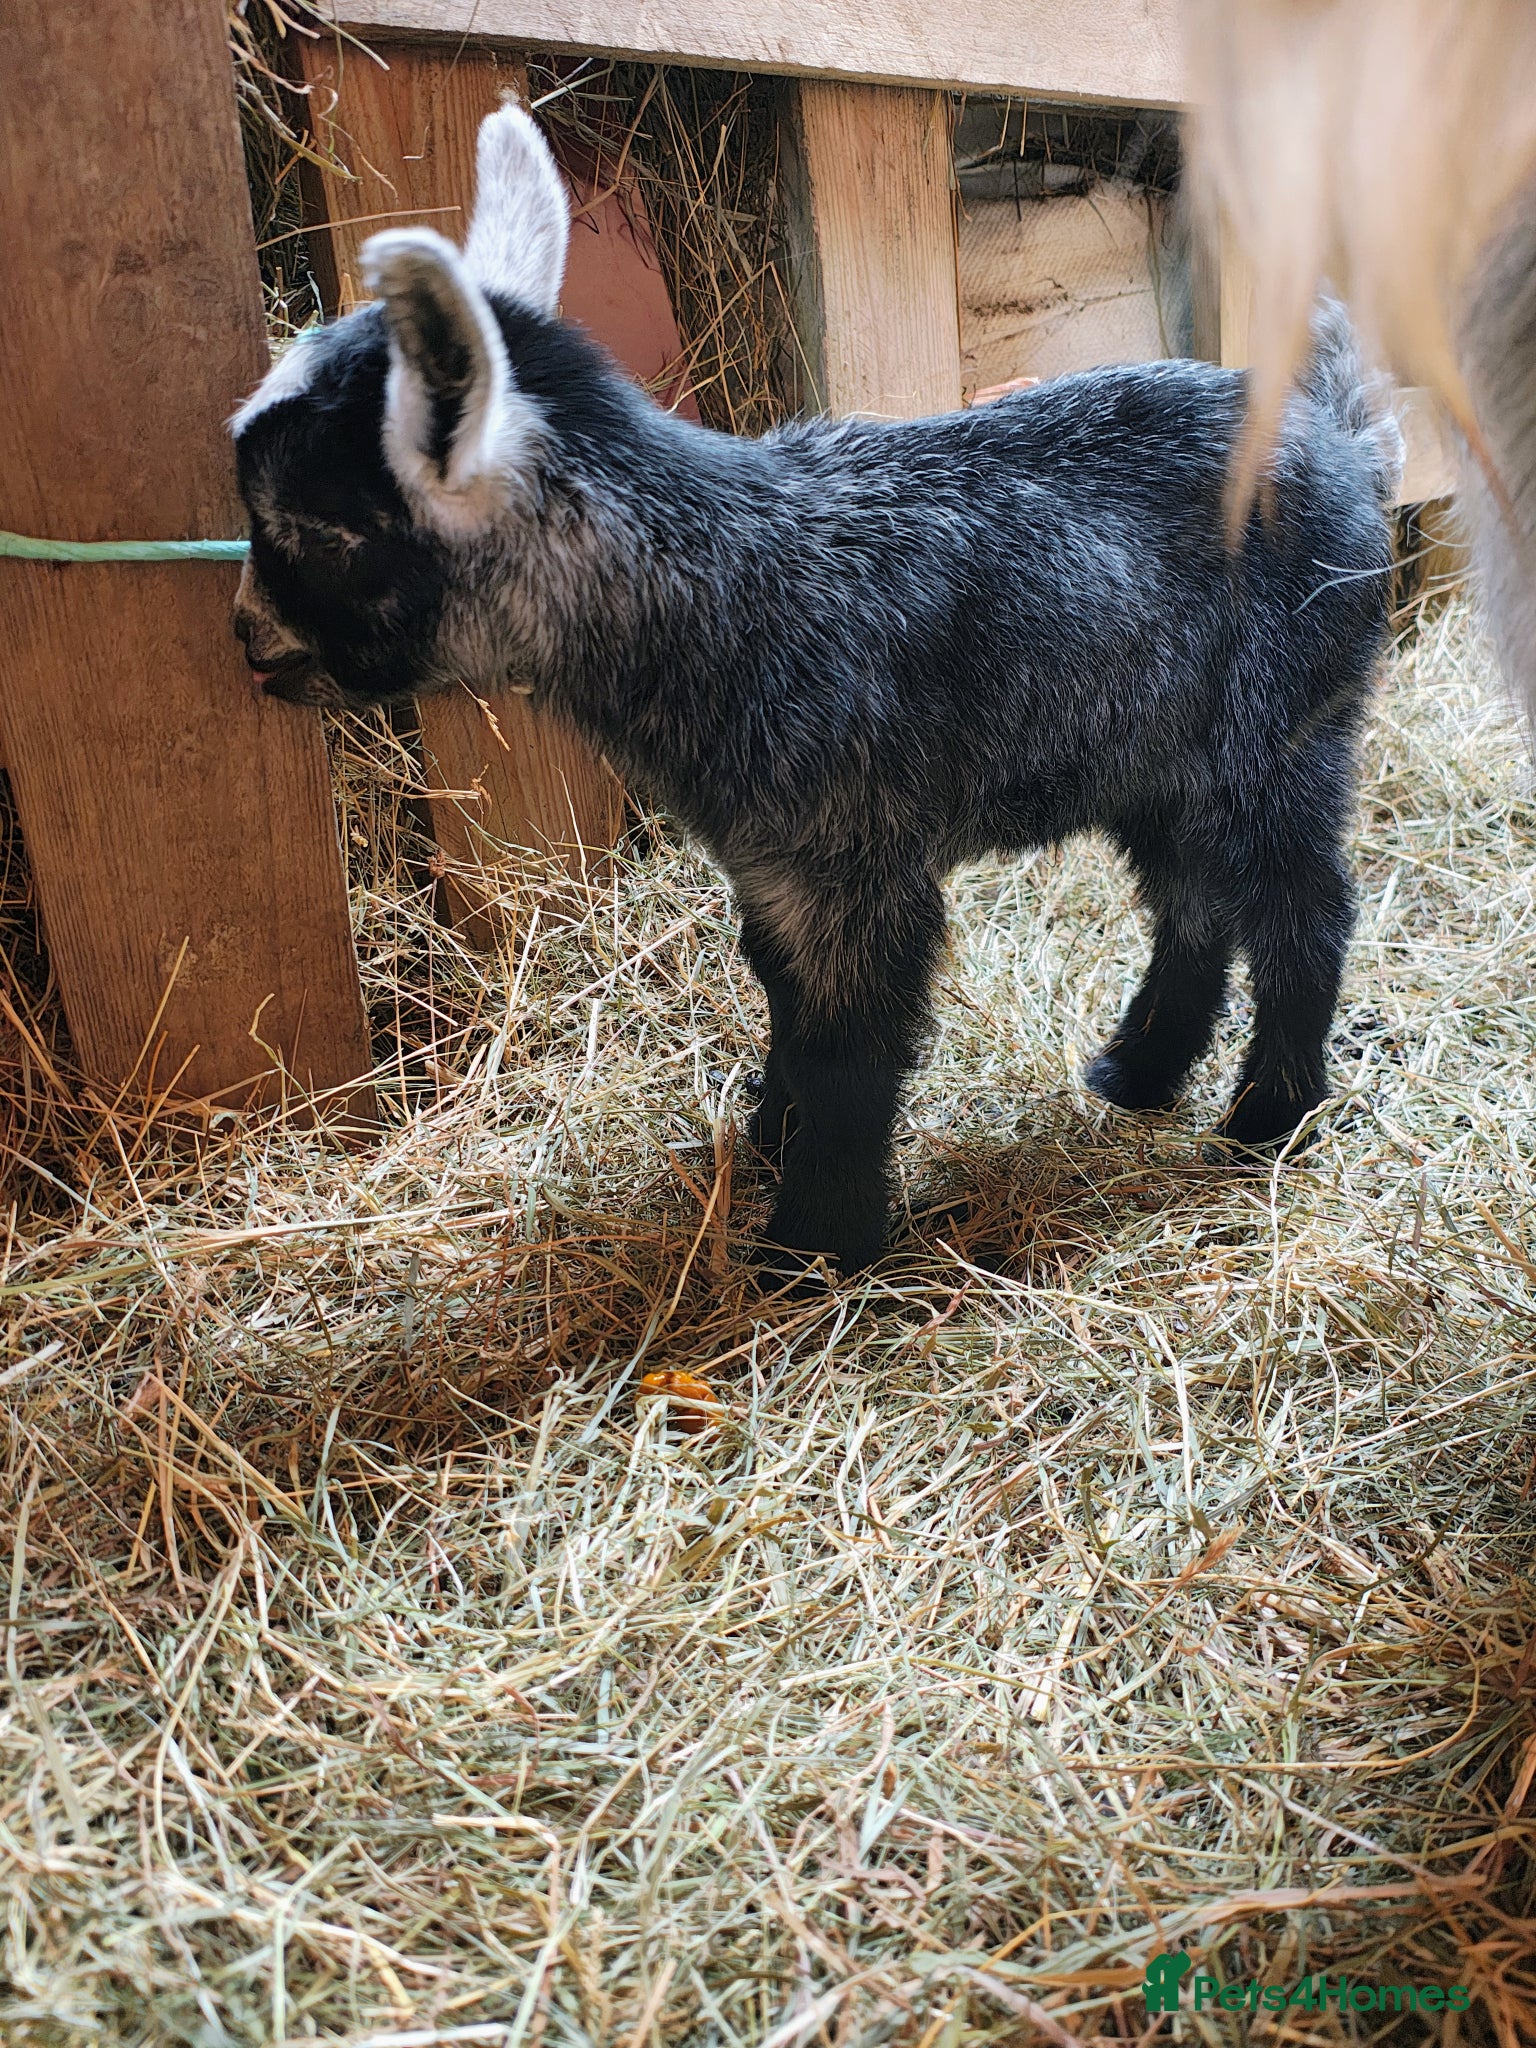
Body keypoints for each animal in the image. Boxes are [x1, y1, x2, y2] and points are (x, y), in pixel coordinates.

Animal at [230, 105, 1401, 1276]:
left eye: (323, 530)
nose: (246, 636)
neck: (723, 585)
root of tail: (1346, 446)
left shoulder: (856, 861)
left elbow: (848, 1044)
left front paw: (814, 1243)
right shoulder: (770, 859)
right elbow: (783, 997)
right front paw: (770, 1136)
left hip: (1287, 726)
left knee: (1303, 908)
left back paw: (1267, 1118)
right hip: (1156, 755)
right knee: (1195, 901)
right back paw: (1141, 1072)